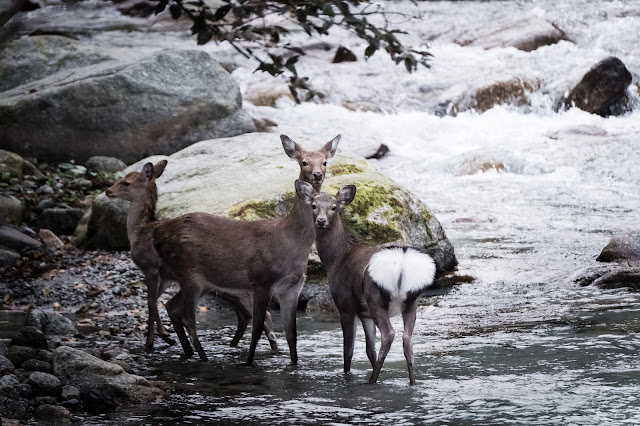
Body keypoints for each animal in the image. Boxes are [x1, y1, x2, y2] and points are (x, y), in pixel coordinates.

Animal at [105, 160, 278, 352]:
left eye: (126, 182)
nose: (108, 191)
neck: (138, 232)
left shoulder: (150, 268)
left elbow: (151, 302)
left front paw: (153, 341)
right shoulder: (165, 278)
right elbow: (155, 301)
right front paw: (166, 337)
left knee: (262, 314)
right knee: (247, 314)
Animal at [152, 136, 340, 362]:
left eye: (325, 162)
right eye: (304, 162)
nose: (317, 175)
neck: (291, 241)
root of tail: (157, 234)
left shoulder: (292, 289)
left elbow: (292, 335)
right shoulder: (261, 281)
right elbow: (257, 327)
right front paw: (248, 363)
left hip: (202, 280)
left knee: (172, 306)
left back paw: (187, 352)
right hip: (189, 273)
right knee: (188, 319)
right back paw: (203, 358)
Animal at [310, 185, 436, 384]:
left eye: (334, 207)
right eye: (313, 205)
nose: (321, 220)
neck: (335, 259)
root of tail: (402, 260)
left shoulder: (345, 304)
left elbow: (348, 350)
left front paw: (347, 375)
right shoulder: (365, 314)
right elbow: (370, 349)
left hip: (374, 296)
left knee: (389, 334)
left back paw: (372, 380)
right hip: (411, 301)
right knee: (407, 339)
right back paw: (411, 382)